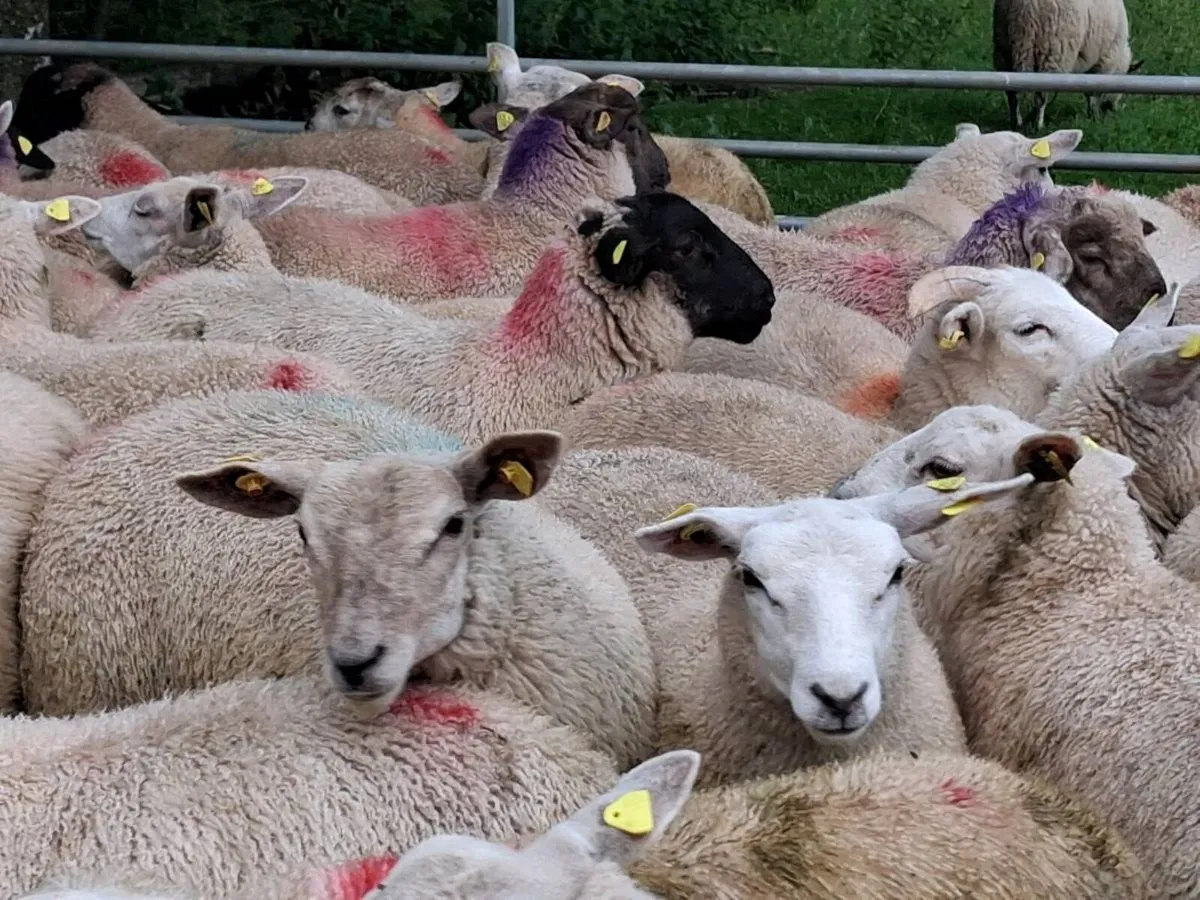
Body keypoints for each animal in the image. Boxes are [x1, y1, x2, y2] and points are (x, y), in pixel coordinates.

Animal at [993, 0, 1140, 130]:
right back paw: (1038, 125)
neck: (1119, 58)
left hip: (1004, 46)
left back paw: (1016, 122)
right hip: (1052, 49)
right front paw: (1094, 117)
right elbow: (1094, 94)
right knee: (1041, 96)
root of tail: (1026, 6)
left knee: (1012, 93)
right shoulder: (1104, 62)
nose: (1112, 108)